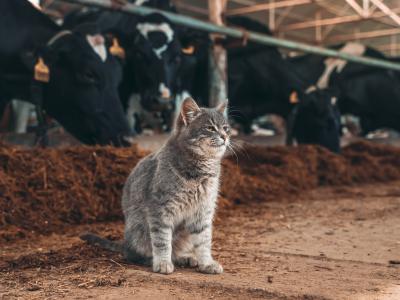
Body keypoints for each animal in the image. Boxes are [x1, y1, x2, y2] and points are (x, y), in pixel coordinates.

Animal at [82, 98, 228, 274]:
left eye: (226, 128)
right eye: (210, 128)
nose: (225, 136)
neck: (201, 170)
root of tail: (125, 243)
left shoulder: (203, 211)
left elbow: (204, 241)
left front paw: (206, 263)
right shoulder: (160, 209)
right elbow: (162, 240)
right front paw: (162, 263)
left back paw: (185, 257)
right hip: (138, 232)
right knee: (134, 254)